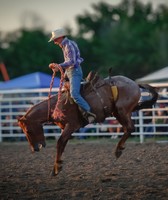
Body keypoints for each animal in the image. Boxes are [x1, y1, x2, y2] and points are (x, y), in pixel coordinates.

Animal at [17, 71, 158, 176]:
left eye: (28, 130)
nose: (35, 148)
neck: (57, 106)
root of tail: (134, 83)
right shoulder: (66, 128)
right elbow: (63, 144)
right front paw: (58, 164)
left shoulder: (72, 126)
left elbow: (60, 142)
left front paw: (56, 168)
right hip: (118, 112)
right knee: (127, 128)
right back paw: (119, 148)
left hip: (122, 110)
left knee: (130, 127)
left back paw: (118, 150)